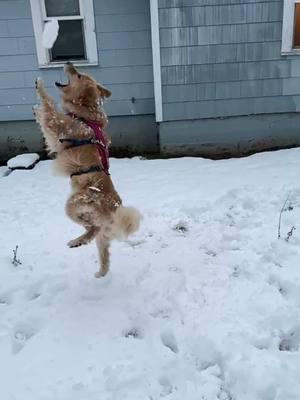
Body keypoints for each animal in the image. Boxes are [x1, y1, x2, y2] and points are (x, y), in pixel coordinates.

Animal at [33, 62, 141, 278]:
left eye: (79, 75)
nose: (69, 63)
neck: (84, 112)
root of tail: (116, 207)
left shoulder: (57, 123)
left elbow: (48, 104)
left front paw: (39, 85)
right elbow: (44, 110)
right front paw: (34, 108)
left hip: (74, 205)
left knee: (92, 228)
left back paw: (77, 241)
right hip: (98, 230)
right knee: (101, 245)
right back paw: (99, 270)